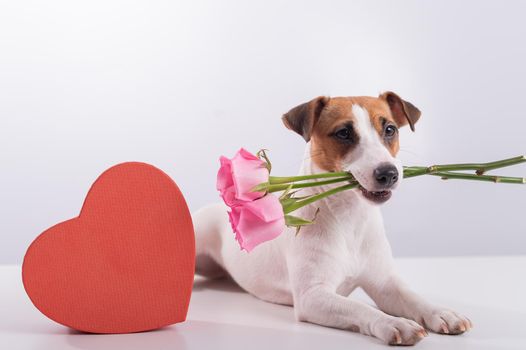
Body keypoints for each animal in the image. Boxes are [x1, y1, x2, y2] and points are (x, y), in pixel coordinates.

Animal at [194, 91, 474, 346]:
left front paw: (441, 312)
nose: (389, 173)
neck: (349, 217)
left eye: (390, 129)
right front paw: (393, 322)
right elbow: (360, 308)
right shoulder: (312, 296)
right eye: (343, 133)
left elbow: (412, 297)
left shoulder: (384, 283)